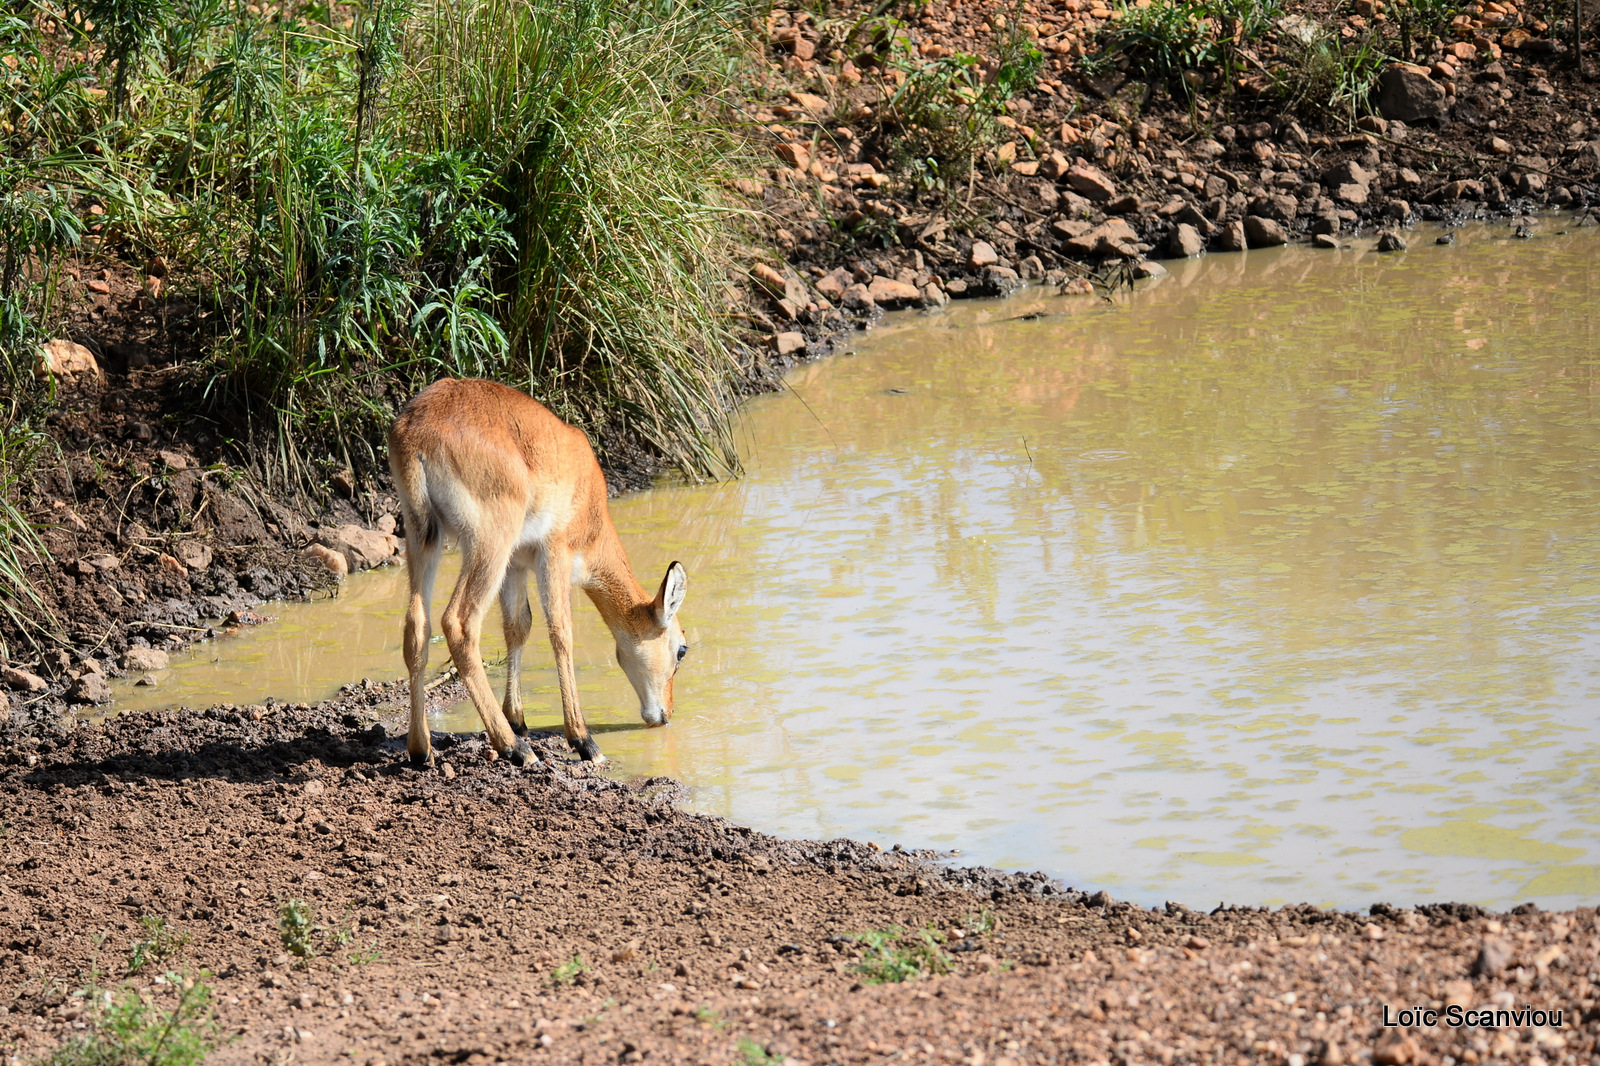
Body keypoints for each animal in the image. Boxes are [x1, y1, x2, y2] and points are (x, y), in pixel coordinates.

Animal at [390, 377, 691, 758]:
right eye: (681, 649)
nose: (665, 714)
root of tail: (414, 432)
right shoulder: (555, 554)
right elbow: (561, 631)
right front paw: (581, 738)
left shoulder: (517, 565)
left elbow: (519, 625)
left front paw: (518, 718)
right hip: (488, 543)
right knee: (458, 623)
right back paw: (513, 747)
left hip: (423, 537)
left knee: (416, 624)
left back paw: (421, 749)